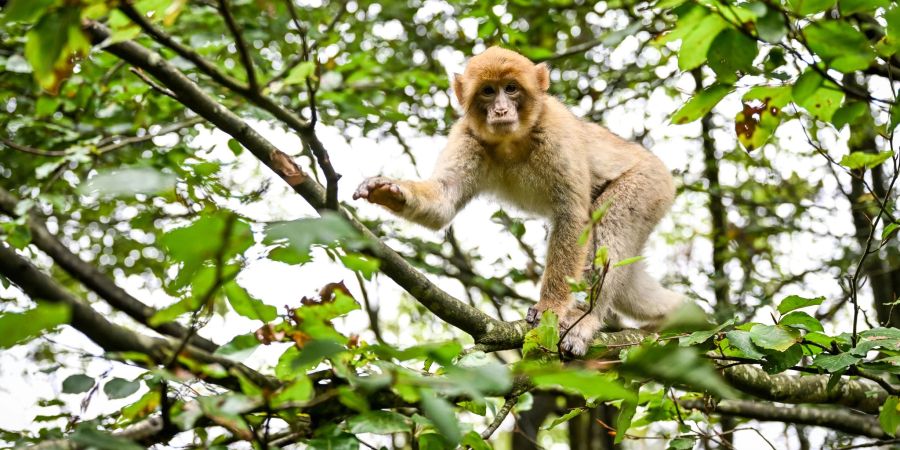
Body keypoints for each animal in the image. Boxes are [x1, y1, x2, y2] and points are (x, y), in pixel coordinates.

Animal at [354, 46, 684, 356]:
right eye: (488, 91)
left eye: (511, 88)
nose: (501, 110)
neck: (512, 140)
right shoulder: (467, 136)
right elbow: (443, 201)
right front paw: (388, 190)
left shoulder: (556, 132)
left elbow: (572, 216)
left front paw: (551, 307)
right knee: (628, 282)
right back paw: (678, 314)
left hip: (648, 185)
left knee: (610, 227)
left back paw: (586, 320)